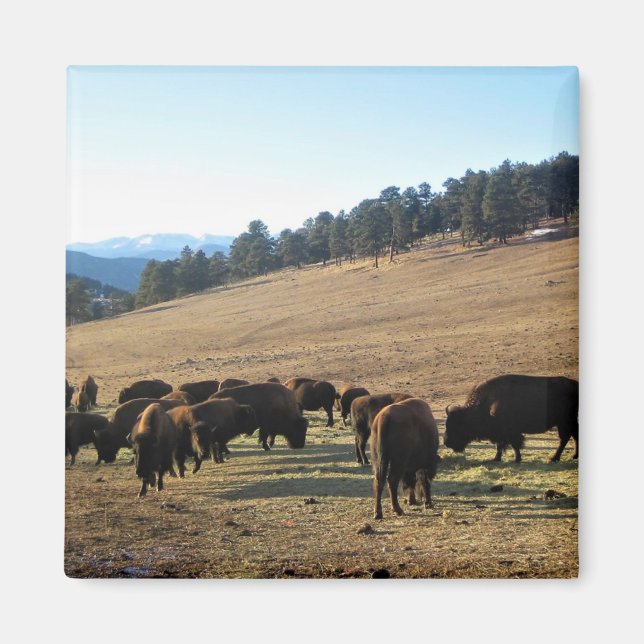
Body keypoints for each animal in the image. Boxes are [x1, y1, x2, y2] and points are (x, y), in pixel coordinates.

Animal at [444, 374, 579, 463]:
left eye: (457, 425)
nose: (446, 442)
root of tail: (575, 385)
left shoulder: (511, 432)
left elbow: (514, 444)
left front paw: (516, 459)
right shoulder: (500, 432)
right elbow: (500, 445)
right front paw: (496, 458)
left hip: (564, 421)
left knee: (564, 438)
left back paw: (554, 458)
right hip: (568, 421)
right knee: (573, 435)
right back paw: (573, 456)